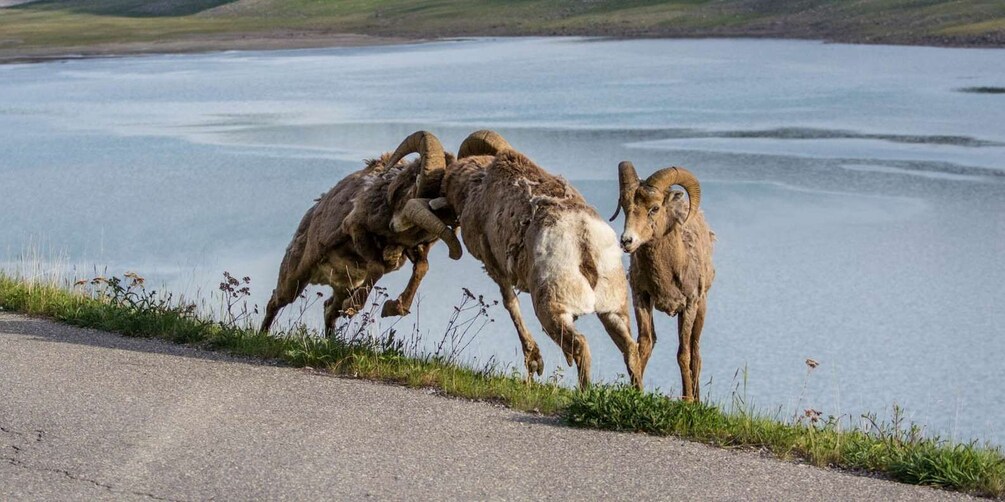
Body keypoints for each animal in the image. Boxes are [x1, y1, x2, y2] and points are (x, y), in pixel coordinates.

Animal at [259, 131, 462, 333]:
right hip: (295, 279)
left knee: (329, 309)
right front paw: (352, 307)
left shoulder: (412, 248)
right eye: (417, 181)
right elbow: (378, 267)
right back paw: (264, 333)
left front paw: (394, 308)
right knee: (275, 301)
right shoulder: (356, 228)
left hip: (342, 286)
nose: (395, 225)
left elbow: (421, 267)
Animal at [391, 131, 643, 389]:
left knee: (581, 345)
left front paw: (534, 362)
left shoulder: (494, 266)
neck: (476, 186)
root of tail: (583, 238)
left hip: (550, 309)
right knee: (631, 351)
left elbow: (510, 303)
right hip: (614, 310)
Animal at [611, 162, 715, 401]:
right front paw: (636, 391)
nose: (627, 241)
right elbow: (643, 345)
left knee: (695, 352)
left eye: (655, 208)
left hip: (701, 308)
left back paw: (696, 400)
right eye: (625, 206)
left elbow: (684, 354)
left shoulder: (689, 305)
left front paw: (687, 402)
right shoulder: (642, 299)